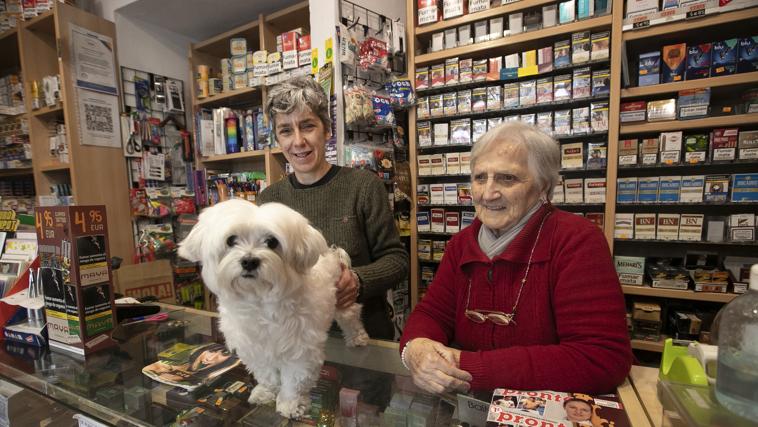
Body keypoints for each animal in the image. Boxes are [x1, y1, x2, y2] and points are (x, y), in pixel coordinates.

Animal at [178, 200, 368, 418]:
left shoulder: (300, 347)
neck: (259, 300)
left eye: (271, 242)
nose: (249, 261)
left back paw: (357, 338)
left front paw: (290, 404)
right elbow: (266, 372)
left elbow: (295, 378)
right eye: (231, 240)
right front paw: (266, 391)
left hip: (342, 299)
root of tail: (332, 252)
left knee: (351, 316)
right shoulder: (255, 346)